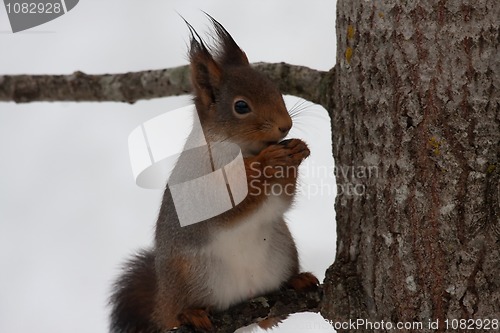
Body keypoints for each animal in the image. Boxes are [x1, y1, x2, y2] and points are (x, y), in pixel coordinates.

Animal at [111, 15, 318, 332]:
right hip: (187, 276)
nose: (285, 126)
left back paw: (296, 282)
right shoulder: (203, 186)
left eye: (275, 87)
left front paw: (296, 151)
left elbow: (280, 202)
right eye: (241, 106)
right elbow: (227, 204)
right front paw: (268, 162)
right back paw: (190, 314)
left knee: (271, 315)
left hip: (283, 251)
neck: (243, 150)